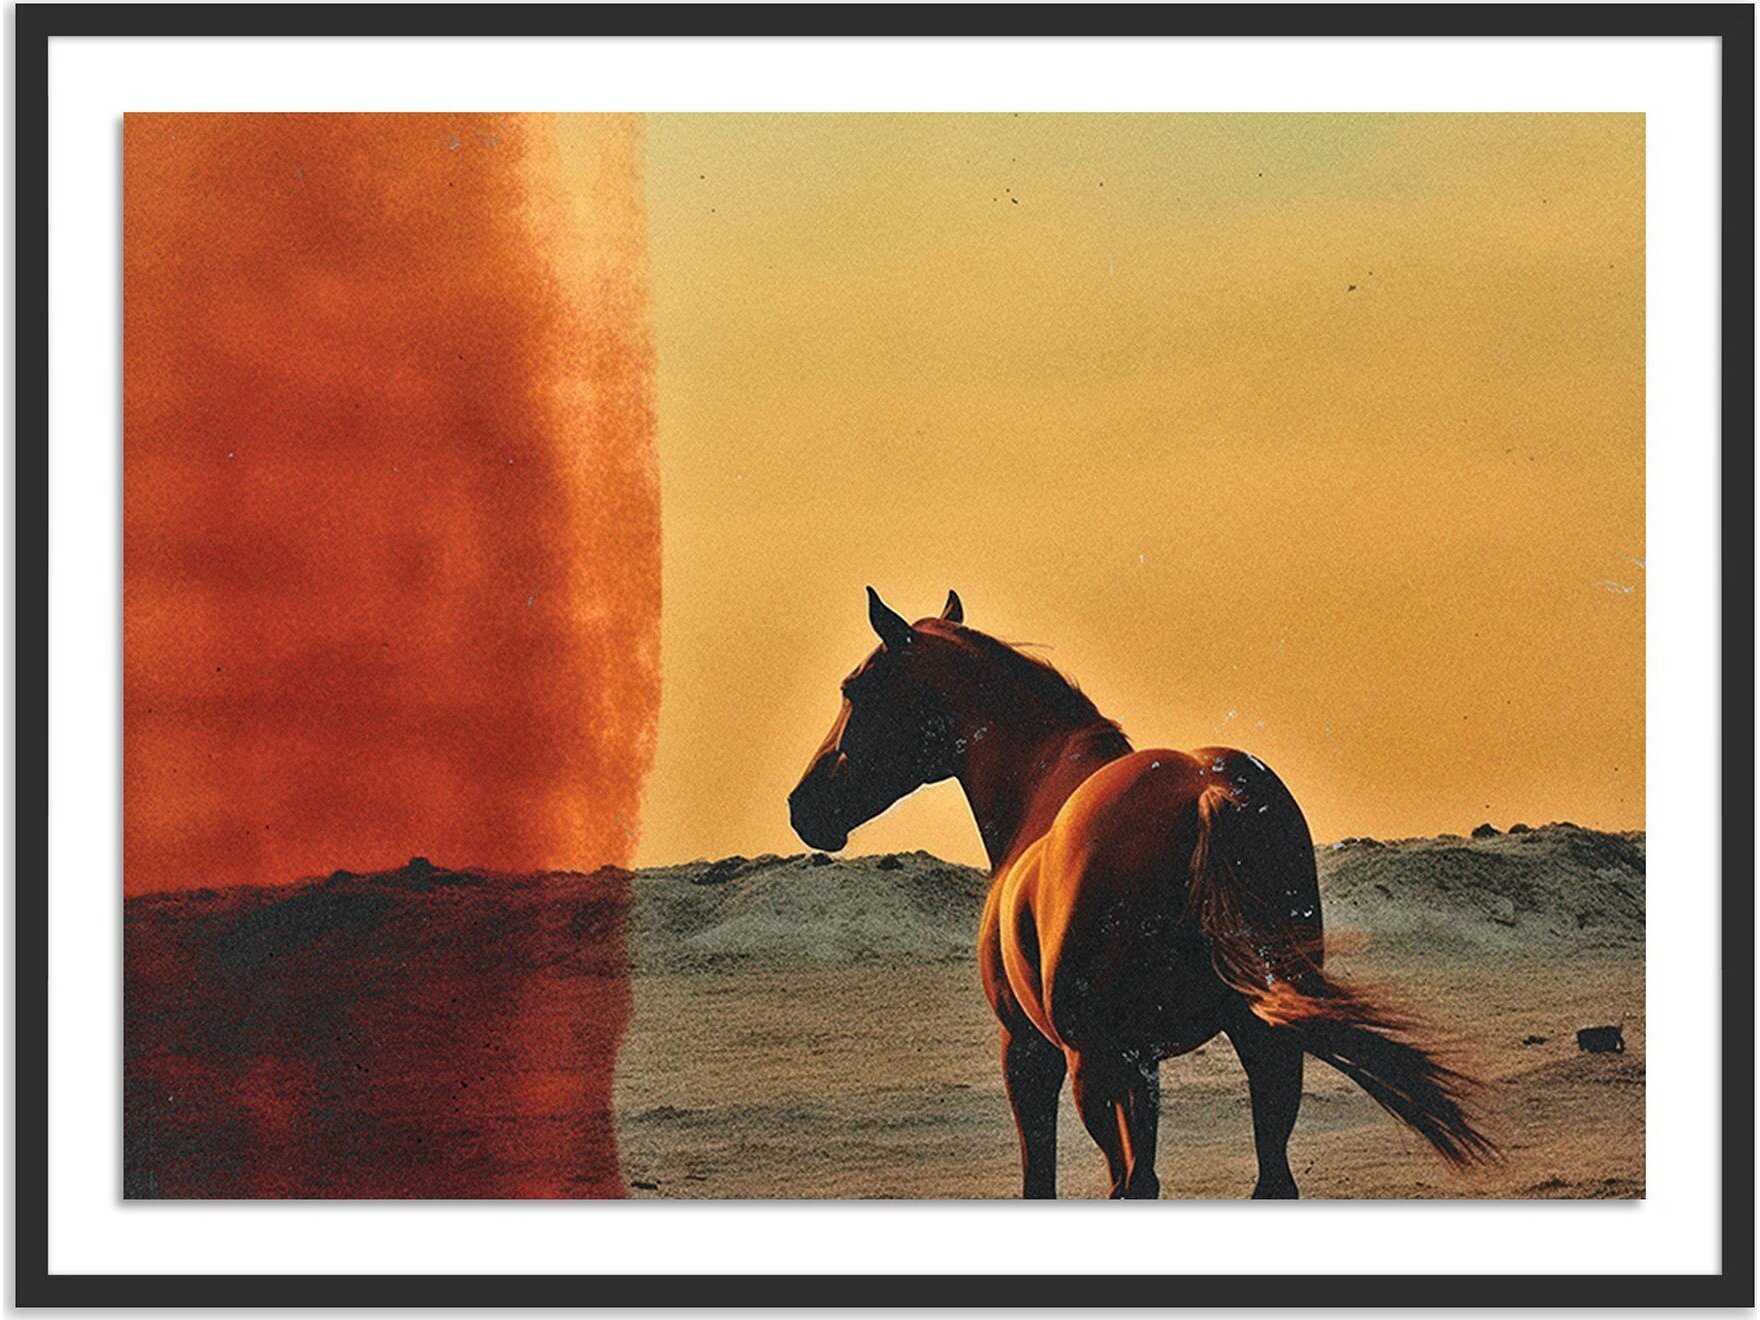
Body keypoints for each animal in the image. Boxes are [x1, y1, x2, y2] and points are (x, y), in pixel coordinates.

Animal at [788, 587, 1494, 1199]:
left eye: (855, 689)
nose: (804, 806)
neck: (1042, 786)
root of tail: (1208, 793)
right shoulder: (1144, 1063)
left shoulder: (1033, 1053)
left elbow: (1044, 1182)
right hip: (1264, 1046)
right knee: (1269, 1180)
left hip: (1097, 1068)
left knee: (1134, 1185)